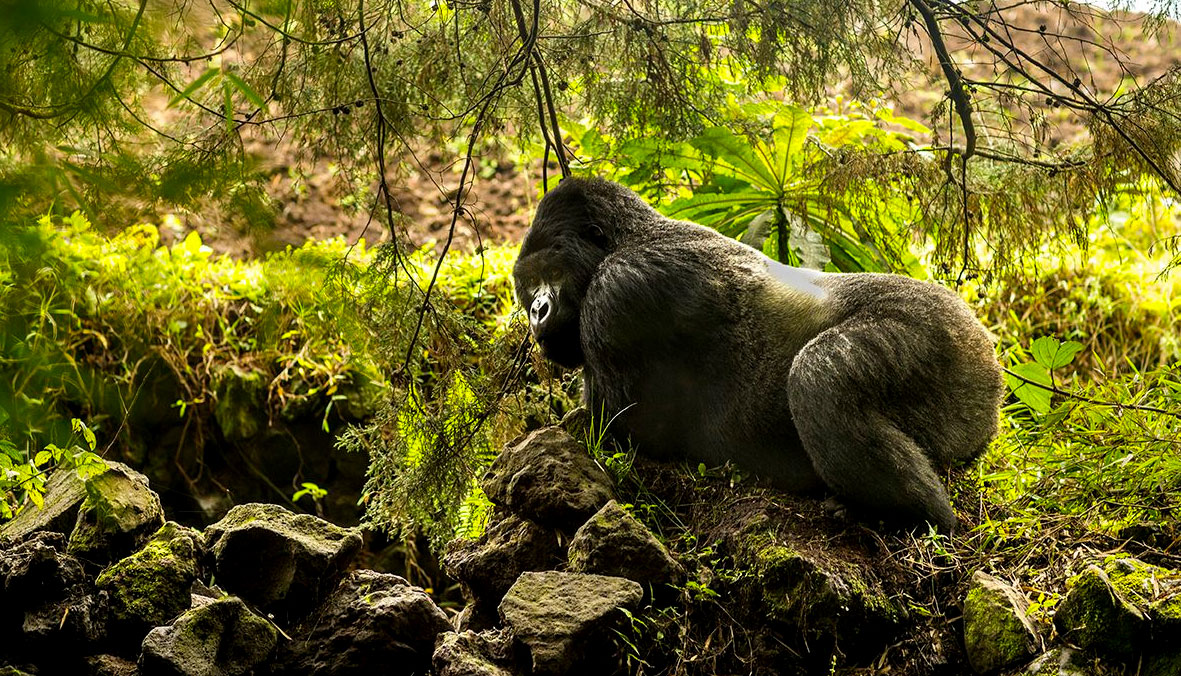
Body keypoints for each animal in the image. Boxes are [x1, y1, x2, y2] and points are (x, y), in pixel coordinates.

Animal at [512, 177, 1004, 533]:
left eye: (551, 272)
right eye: (528, 285)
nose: (537, 311)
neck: (628, 238)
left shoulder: (619, 291)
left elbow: (618, 430)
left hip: (946, 336)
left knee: (819, 375)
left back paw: (911, 514)